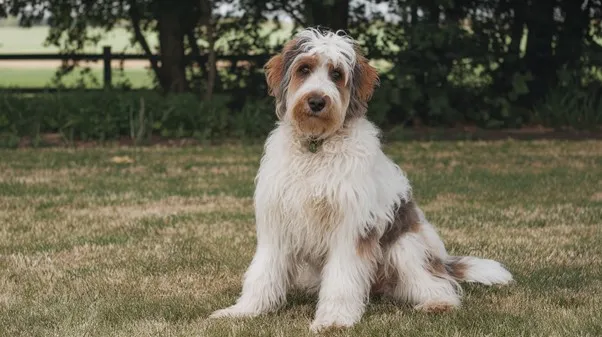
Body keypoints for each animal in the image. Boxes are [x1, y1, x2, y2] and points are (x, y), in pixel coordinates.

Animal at [207, 26, 510, 330]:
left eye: (336, 74)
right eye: (304, 69)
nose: (316, 101)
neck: (316, 147)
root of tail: (444, 261)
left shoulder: (350, 226)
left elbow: (342, 277)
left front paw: (333, 319)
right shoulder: (278, 222)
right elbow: (264, 271)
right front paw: (244, 310)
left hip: (405, 246)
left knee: (436, 282)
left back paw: (438, 303)